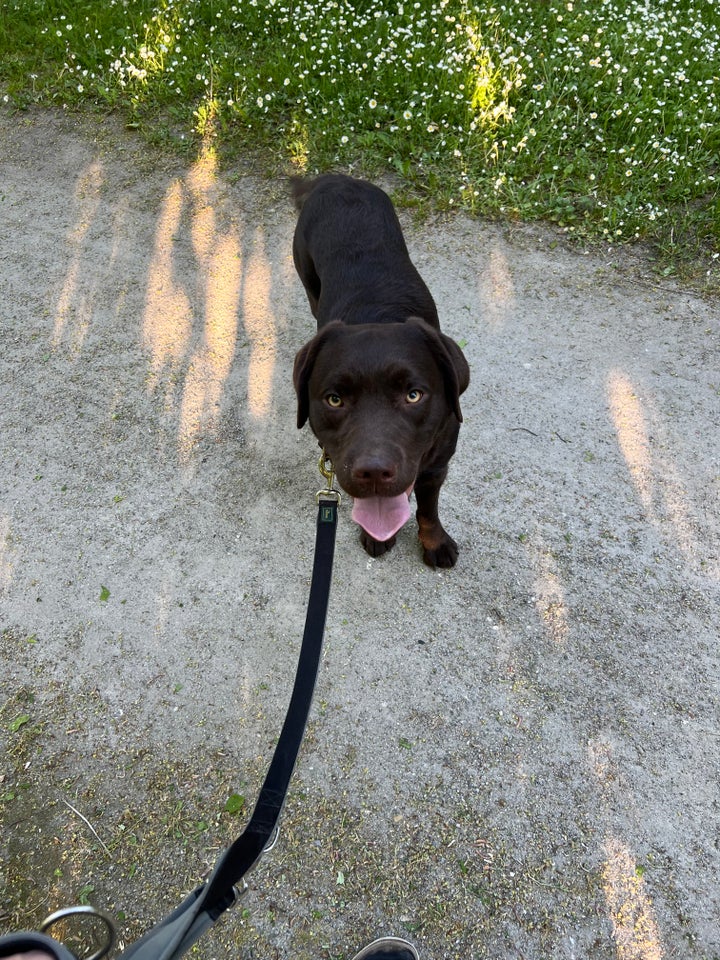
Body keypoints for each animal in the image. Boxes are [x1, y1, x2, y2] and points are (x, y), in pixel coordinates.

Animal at [290, 172, 470, 568]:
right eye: (335, 399)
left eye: (414, 395)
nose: (373, 470)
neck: (380, 314)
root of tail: (335, 177)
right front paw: (376, 536)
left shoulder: (437, 464)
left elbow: (428, 508)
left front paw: (435, 542)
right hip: (306, 274)